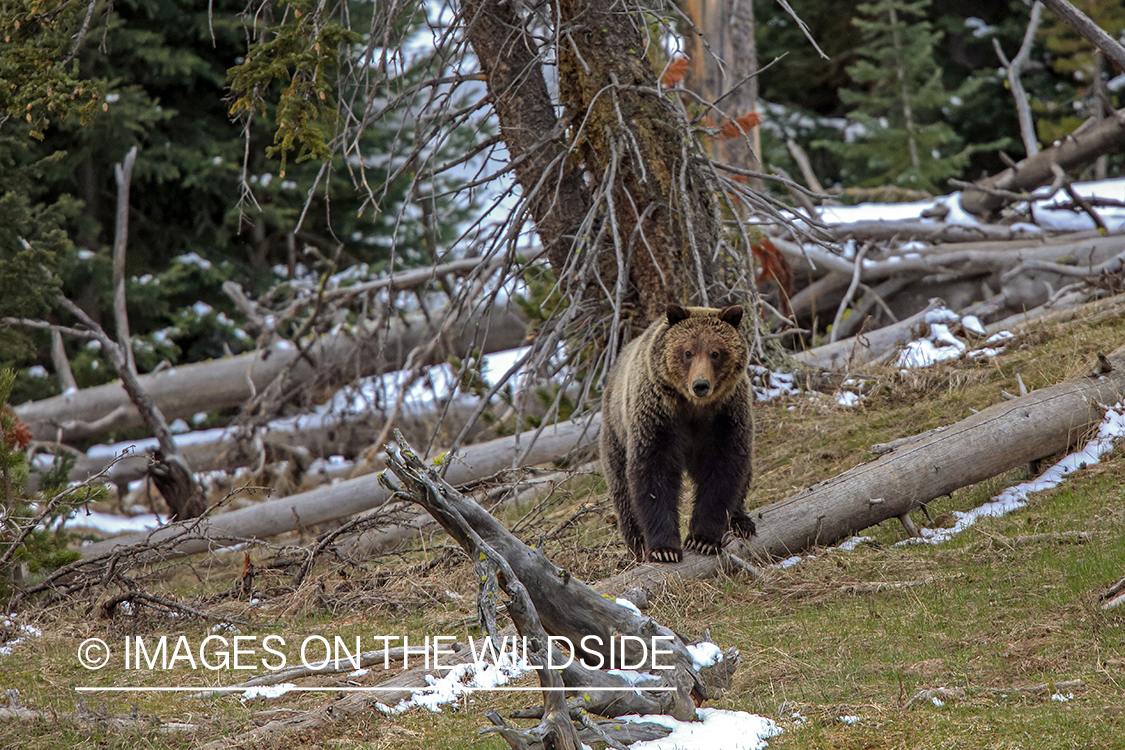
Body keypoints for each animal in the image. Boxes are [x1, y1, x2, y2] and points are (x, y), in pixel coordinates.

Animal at [598, 305, 756, 562]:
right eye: (688, 352)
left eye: (715, 352)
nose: (700, 385)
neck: (693, 407)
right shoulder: (658, 416)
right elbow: (654, 473)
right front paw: (664, 549)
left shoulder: (725, 416)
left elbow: (723, 469)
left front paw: (703, 539)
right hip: (616, 432)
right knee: (623, 491)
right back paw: (637, 546)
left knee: (744, 474)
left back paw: (741, 522)